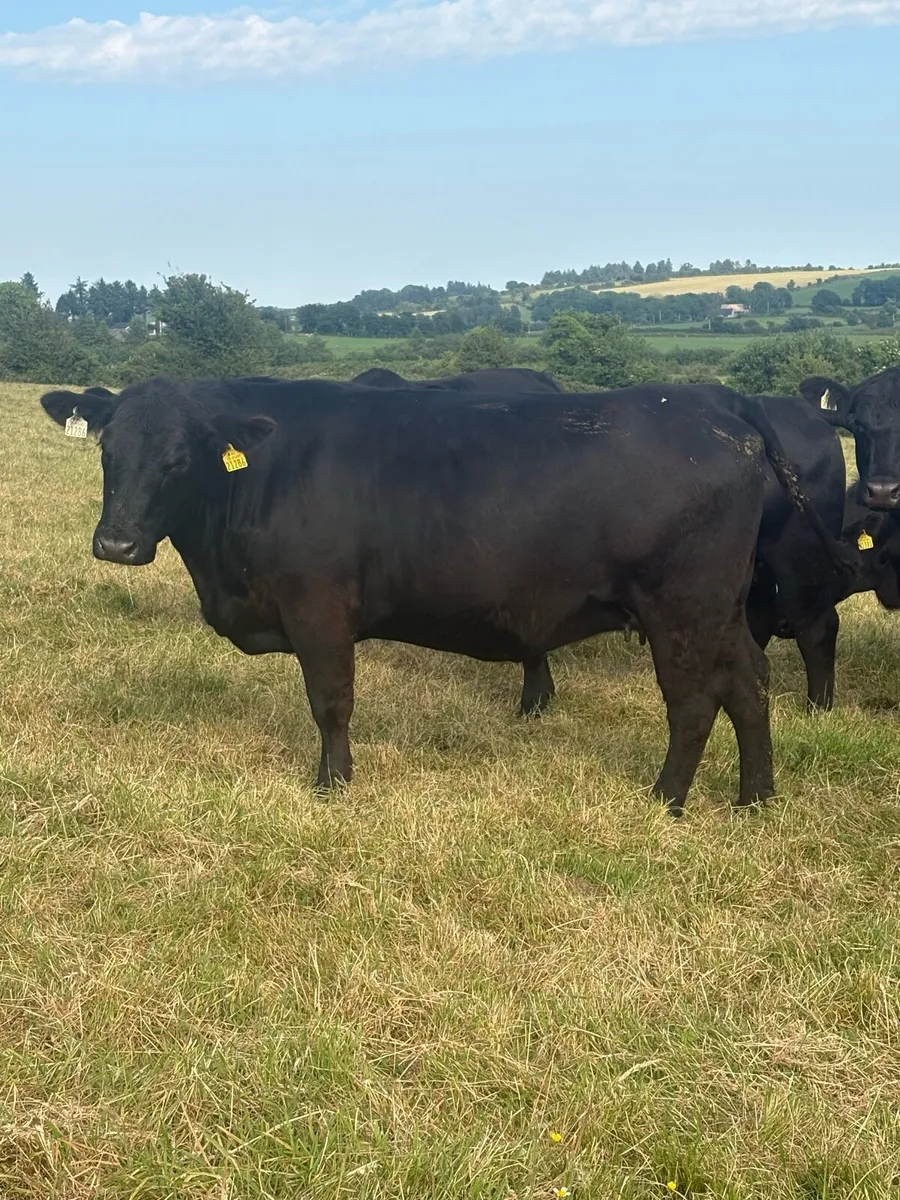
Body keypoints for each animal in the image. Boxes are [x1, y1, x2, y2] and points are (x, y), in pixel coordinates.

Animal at [42, 376, 788, 815]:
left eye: (181, 457)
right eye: (109, 449)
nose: (116, 543)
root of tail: (718, 405)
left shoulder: (317, 608)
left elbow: (330, 702)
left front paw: (332, 786)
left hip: (682, 610)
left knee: (694, 706)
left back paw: (665, 800)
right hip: (725, 614)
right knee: (749, 689)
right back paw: (755, 798)